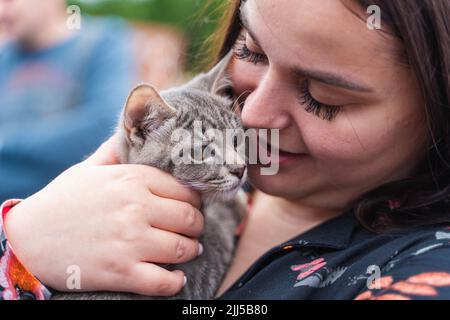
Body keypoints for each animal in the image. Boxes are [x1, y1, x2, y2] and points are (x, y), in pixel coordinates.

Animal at [55, 52, 250, 300]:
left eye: (235, 139)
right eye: (202, 151)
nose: (240, 169)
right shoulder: (192, 276)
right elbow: (220, 231)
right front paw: (233, 205)